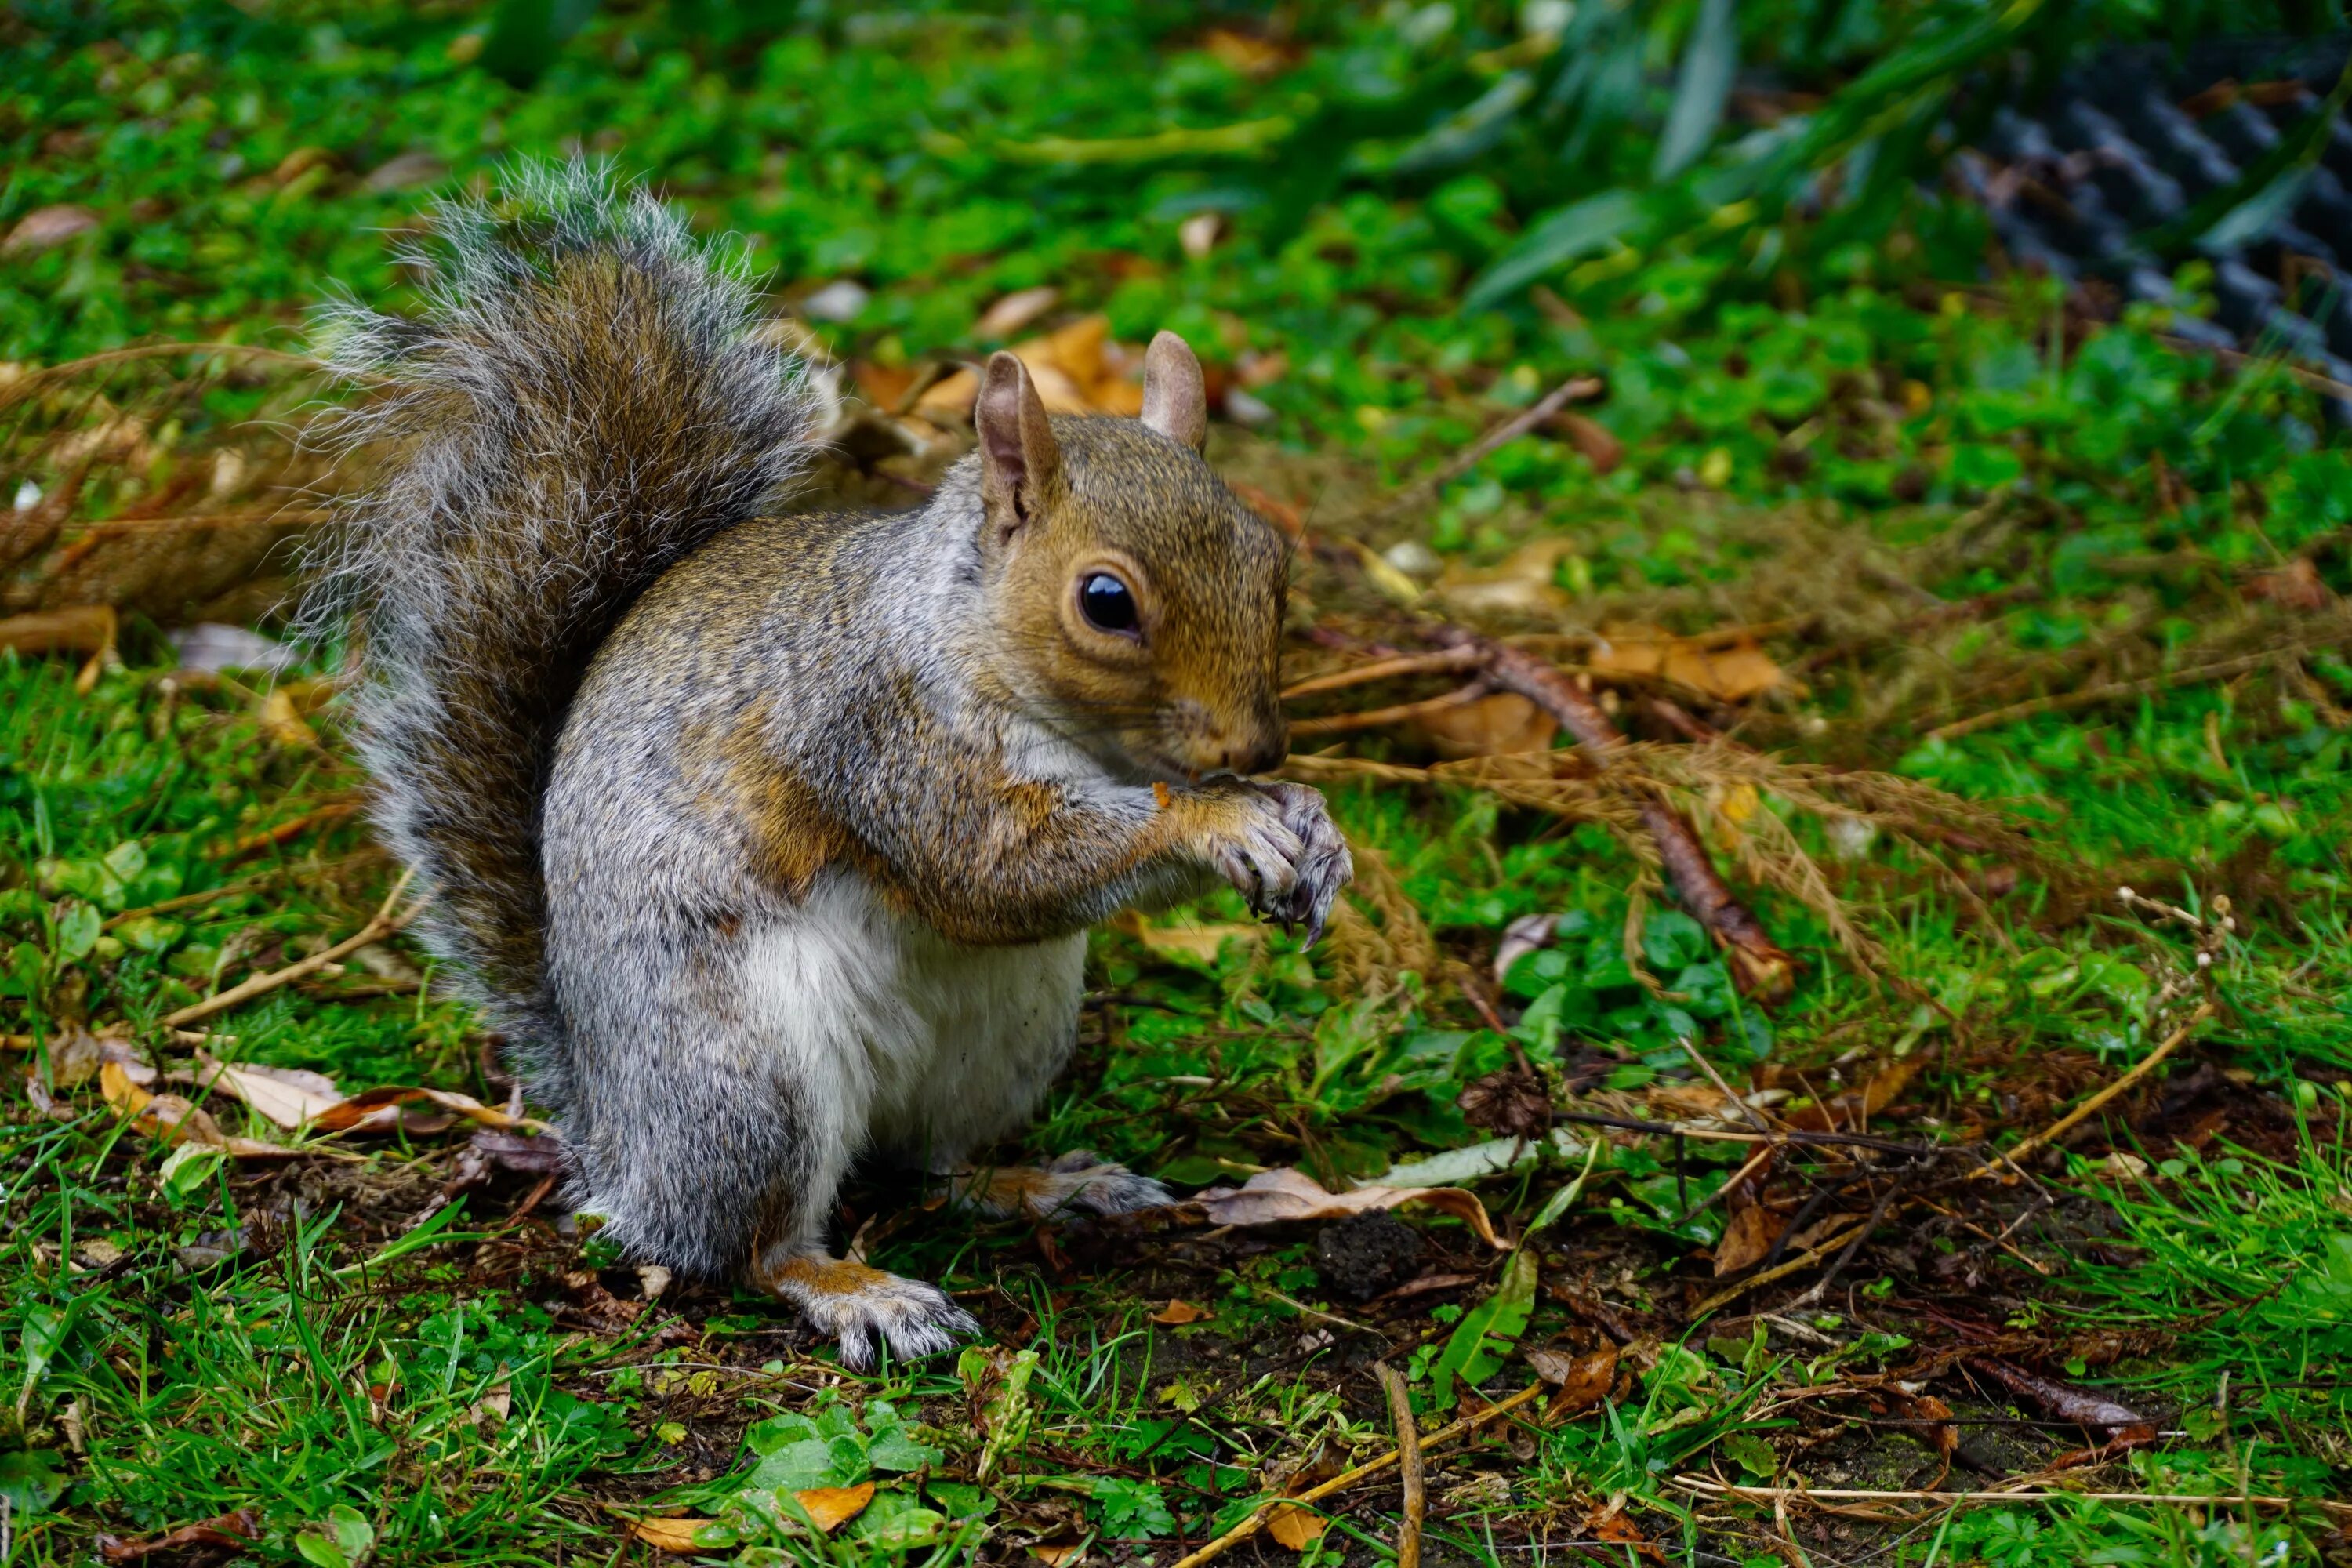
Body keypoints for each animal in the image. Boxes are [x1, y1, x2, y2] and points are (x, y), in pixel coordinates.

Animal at [313, 165, 1355, 1363]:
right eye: (1106, 602)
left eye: (1269, 559)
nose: (1257, 747)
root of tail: (612, 1125)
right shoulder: (875, 730)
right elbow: (992, 868)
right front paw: (1218, 821)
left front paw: (1307, 820)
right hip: (745, 1075)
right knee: (750, 1245)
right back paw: (860, 1291)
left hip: (1008, 1039)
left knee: (933, 1167)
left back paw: (1044, 1185)